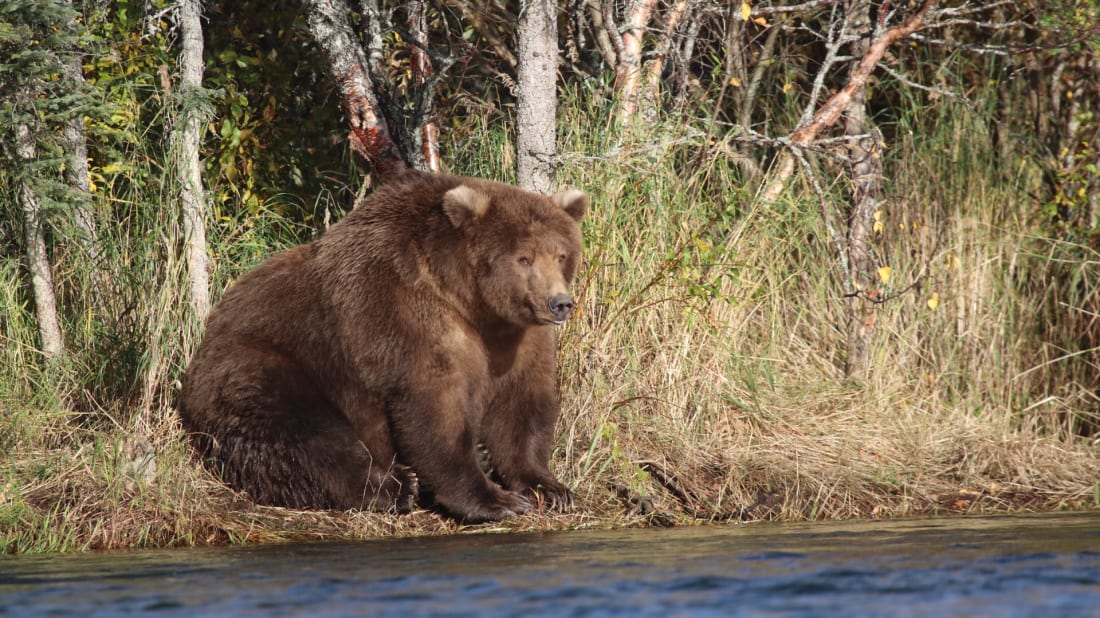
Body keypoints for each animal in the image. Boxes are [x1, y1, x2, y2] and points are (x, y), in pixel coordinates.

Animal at [177, 170, 589, 521]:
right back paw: (396, 486)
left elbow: (521, 405)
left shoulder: (516, 339)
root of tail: (202, 345)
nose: (559, 303)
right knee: (306, 436)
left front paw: (549, 488)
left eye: (561, 254)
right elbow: (434, 408)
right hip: (264, 366)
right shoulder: (404, 314)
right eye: (524, 258)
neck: (470, 303)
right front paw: (495, 499)